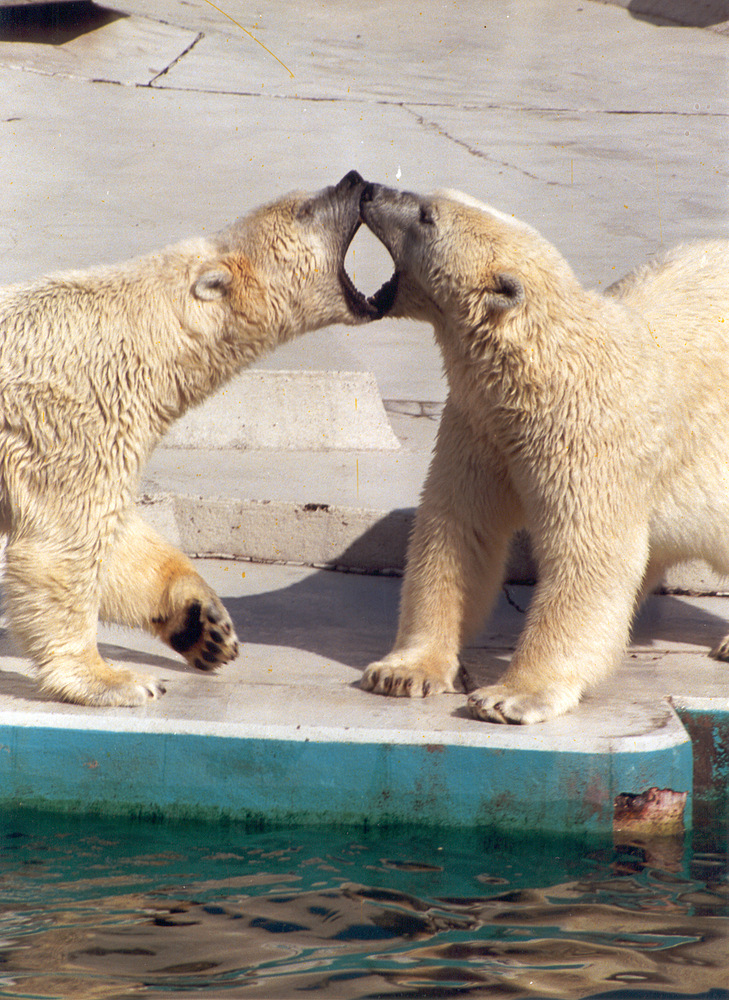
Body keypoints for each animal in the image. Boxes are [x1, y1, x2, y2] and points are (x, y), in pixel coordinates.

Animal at [0, 170, 376, 704]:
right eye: (303, 209)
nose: (353, 179)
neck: (142, 338)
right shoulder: (70, 419)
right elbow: (62, 541)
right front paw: (115, 679)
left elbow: (117, 536)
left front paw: (205, 625)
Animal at [358, 180, 728, 724]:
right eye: (430, 198)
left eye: (427, 215)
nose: (367, 189)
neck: (539, 375)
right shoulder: (480, 428)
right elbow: (457, 531)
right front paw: (403, 671)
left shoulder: (589, 438)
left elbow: (588, 555)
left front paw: (508, 696)